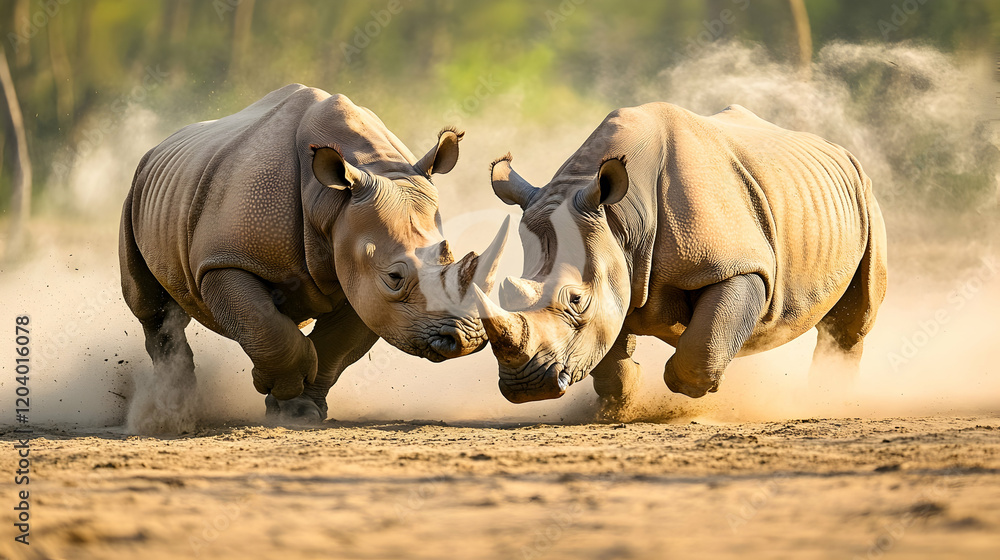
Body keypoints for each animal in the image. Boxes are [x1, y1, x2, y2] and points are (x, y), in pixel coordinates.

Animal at [120, 84, 508, 431]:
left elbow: (335, 346)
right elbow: (264, 325)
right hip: (136, 191)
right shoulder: (224, 260)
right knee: (149, 306)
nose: (467, 339)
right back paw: (174, 405)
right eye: (394, 278)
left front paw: (298, 409)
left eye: (449, 255)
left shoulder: (359, 281)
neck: (332, 202)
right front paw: (282, 388)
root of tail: (159, 146)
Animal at [473, 102, 887, 408]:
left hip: (866, 195)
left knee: (852, 320)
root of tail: (840, 149)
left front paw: (689, 391)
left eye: (576, 300)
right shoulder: (618, 265)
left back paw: (829, 397)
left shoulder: (739, 266)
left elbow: (701, 347)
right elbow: (609, 348)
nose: (527, 387)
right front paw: (623, 400)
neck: (622, 221)